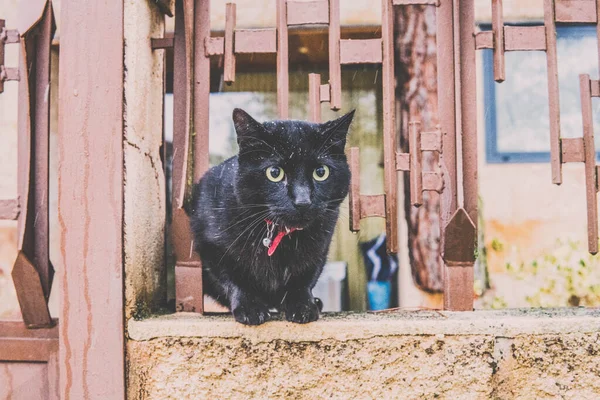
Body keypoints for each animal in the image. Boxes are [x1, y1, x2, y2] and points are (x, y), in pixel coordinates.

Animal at [190, 108, 354, 324]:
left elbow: (304, 279)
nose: (303, 201)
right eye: (274, 172)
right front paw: (250, 308)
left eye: (321, 172)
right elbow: (233, 278)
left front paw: (303, 306)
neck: (282, 235)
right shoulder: (211, 248)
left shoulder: (320, 248)